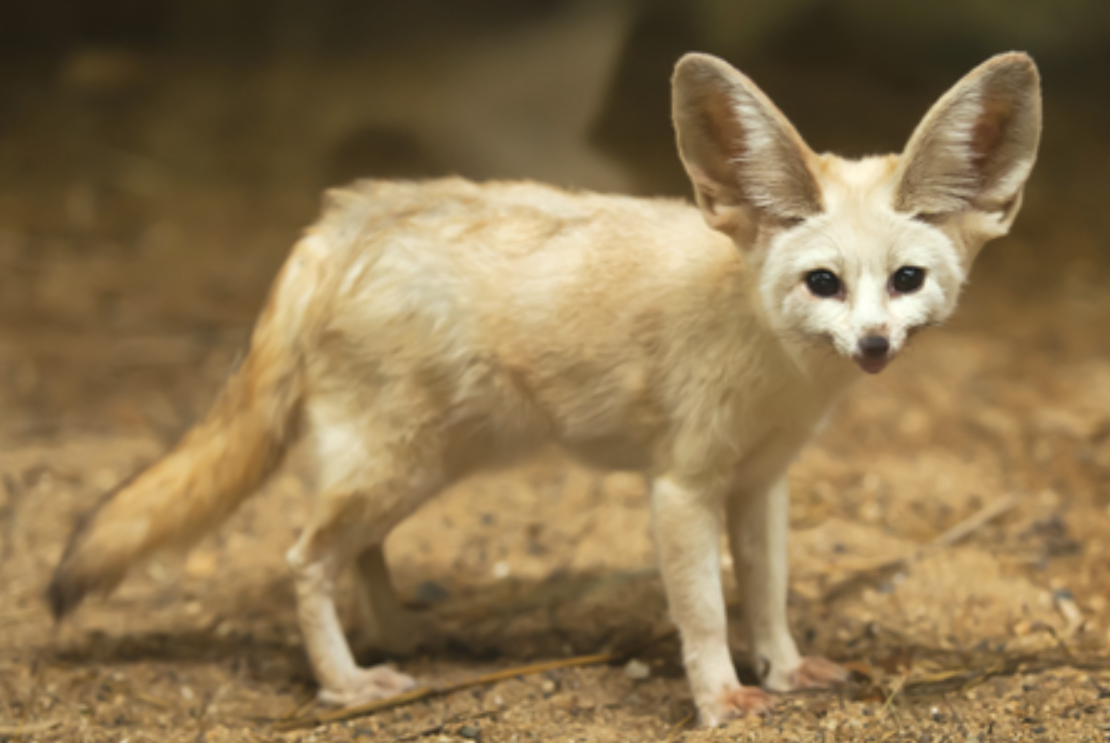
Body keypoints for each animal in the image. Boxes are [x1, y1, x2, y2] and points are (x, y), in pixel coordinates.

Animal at [49, 52, 1038, 724]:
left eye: (906, 281)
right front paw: (720, 699)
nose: (872, 343)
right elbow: (704, 609)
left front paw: (786, 669)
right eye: (823, 282)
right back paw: (347, 681)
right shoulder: (682, 486)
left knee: (357, 552)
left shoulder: (763, 480)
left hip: (422, 466)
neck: (778, 370)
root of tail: (337, 221)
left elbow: (767, 592)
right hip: (397, 467)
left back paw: (399, 632)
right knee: (304, 559)